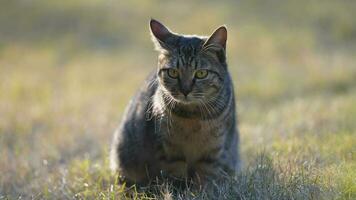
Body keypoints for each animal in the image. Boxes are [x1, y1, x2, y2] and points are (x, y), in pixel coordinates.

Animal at [110, 19, 241, 187]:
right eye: (173, 72)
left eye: (201, 73)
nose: (185, 90)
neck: (193, 117)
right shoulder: (169, 150)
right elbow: (175, 175)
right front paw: (178, 189)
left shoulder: (213, 150)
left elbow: (206, 177)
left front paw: (203, 189)